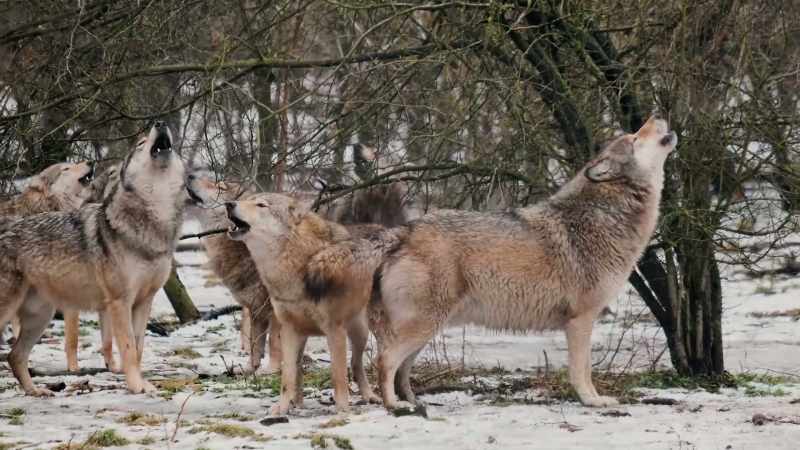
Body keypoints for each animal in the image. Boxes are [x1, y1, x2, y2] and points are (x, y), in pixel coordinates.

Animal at [0, 122, 185, 395]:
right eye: (140, 144)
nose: (160, 124)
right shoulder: (120, 302)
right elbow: (128, 349)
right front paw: (135, 386)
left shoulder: (144, 302)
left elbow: (139, 348)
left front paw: (145, 385)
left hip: (40, 316)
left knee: (15, 356)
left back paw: (36, 392)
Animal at [225, 193, 405, 414]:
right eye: (246, 199)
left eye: (261, 205)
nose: (229, 204)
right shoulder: (288, 329)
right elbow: (287, 376)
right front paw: (281, 408)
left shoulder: (334, 329)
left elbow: (338, 376)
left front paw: (342, 411)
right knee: (305, 368)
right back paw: (298, 402)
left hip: (360, 331)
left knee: (356, 364)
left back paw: (370, 396)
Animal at [371, 116, 677, 409]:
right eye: (635, 138)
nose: (657, 115)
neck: (607, 214)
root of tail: (403, 232)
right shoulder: (581, 320)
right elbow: (582, 370)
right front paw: (592, 400)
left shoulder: (585, 320)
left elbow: (585, 369)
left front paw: (593, 399)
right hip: (424, 326)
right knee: (385, 360)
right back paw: (394, 405)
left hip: (427, 330)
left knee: (402, 370)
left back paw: (414, 403)